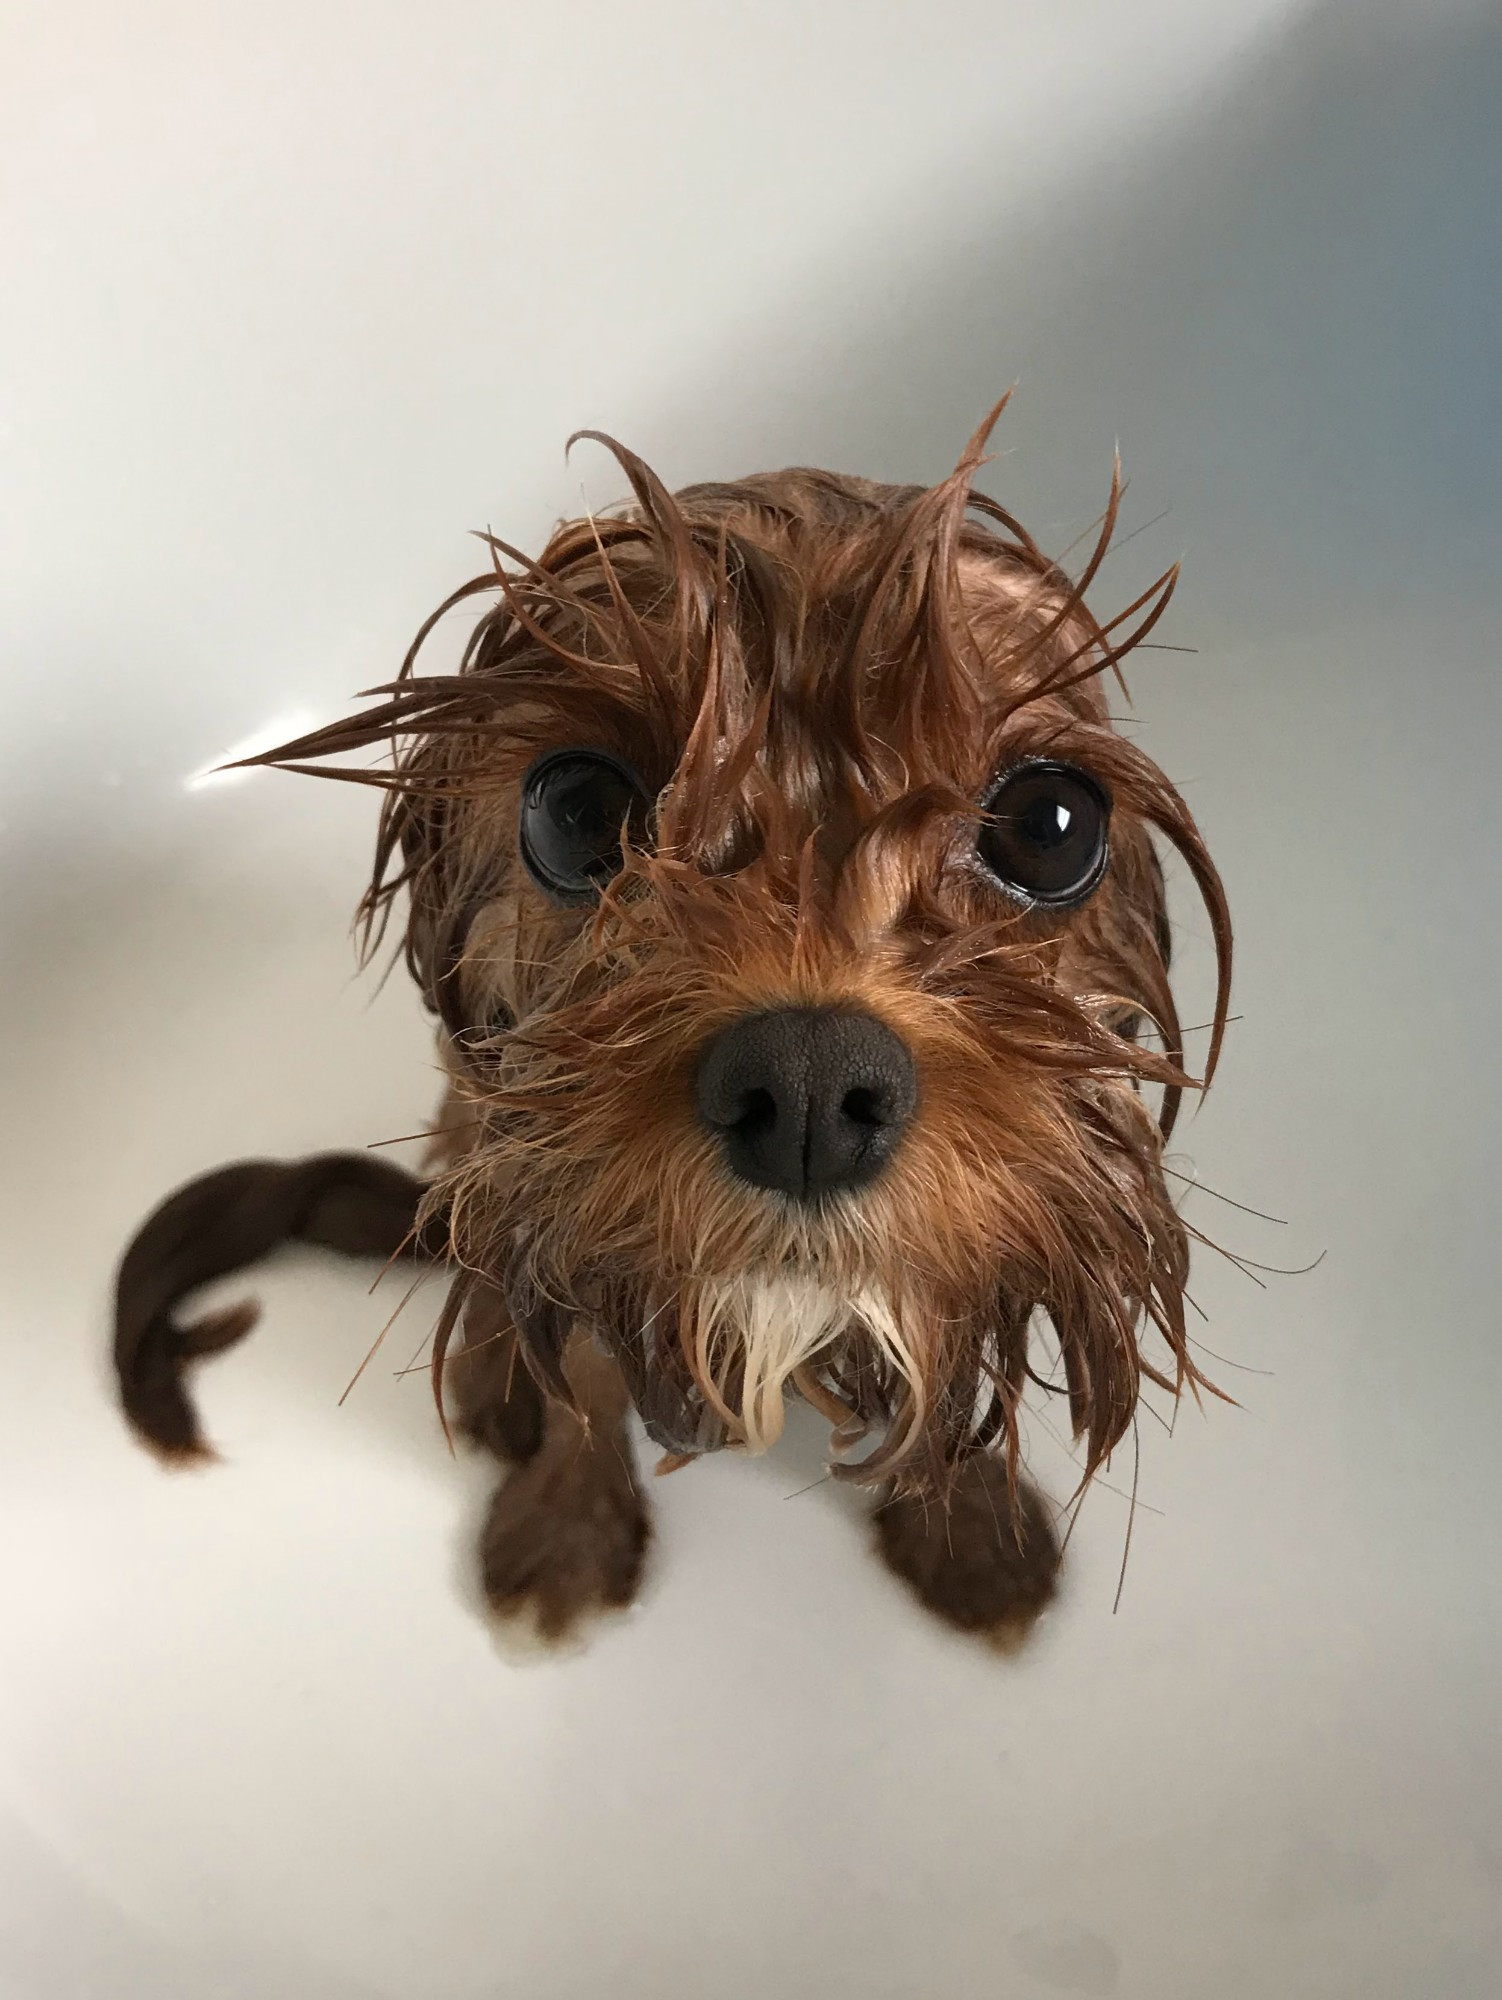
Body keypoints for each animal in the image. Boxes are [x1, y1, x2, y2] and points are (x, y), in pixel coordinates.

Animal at [111, 402, 1224, 1640]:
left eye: (1049, 822)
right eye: (574, 808)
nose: (806, 1084)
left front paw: (966, 1528)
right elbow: (585, 1369)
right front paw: (566, 1525)